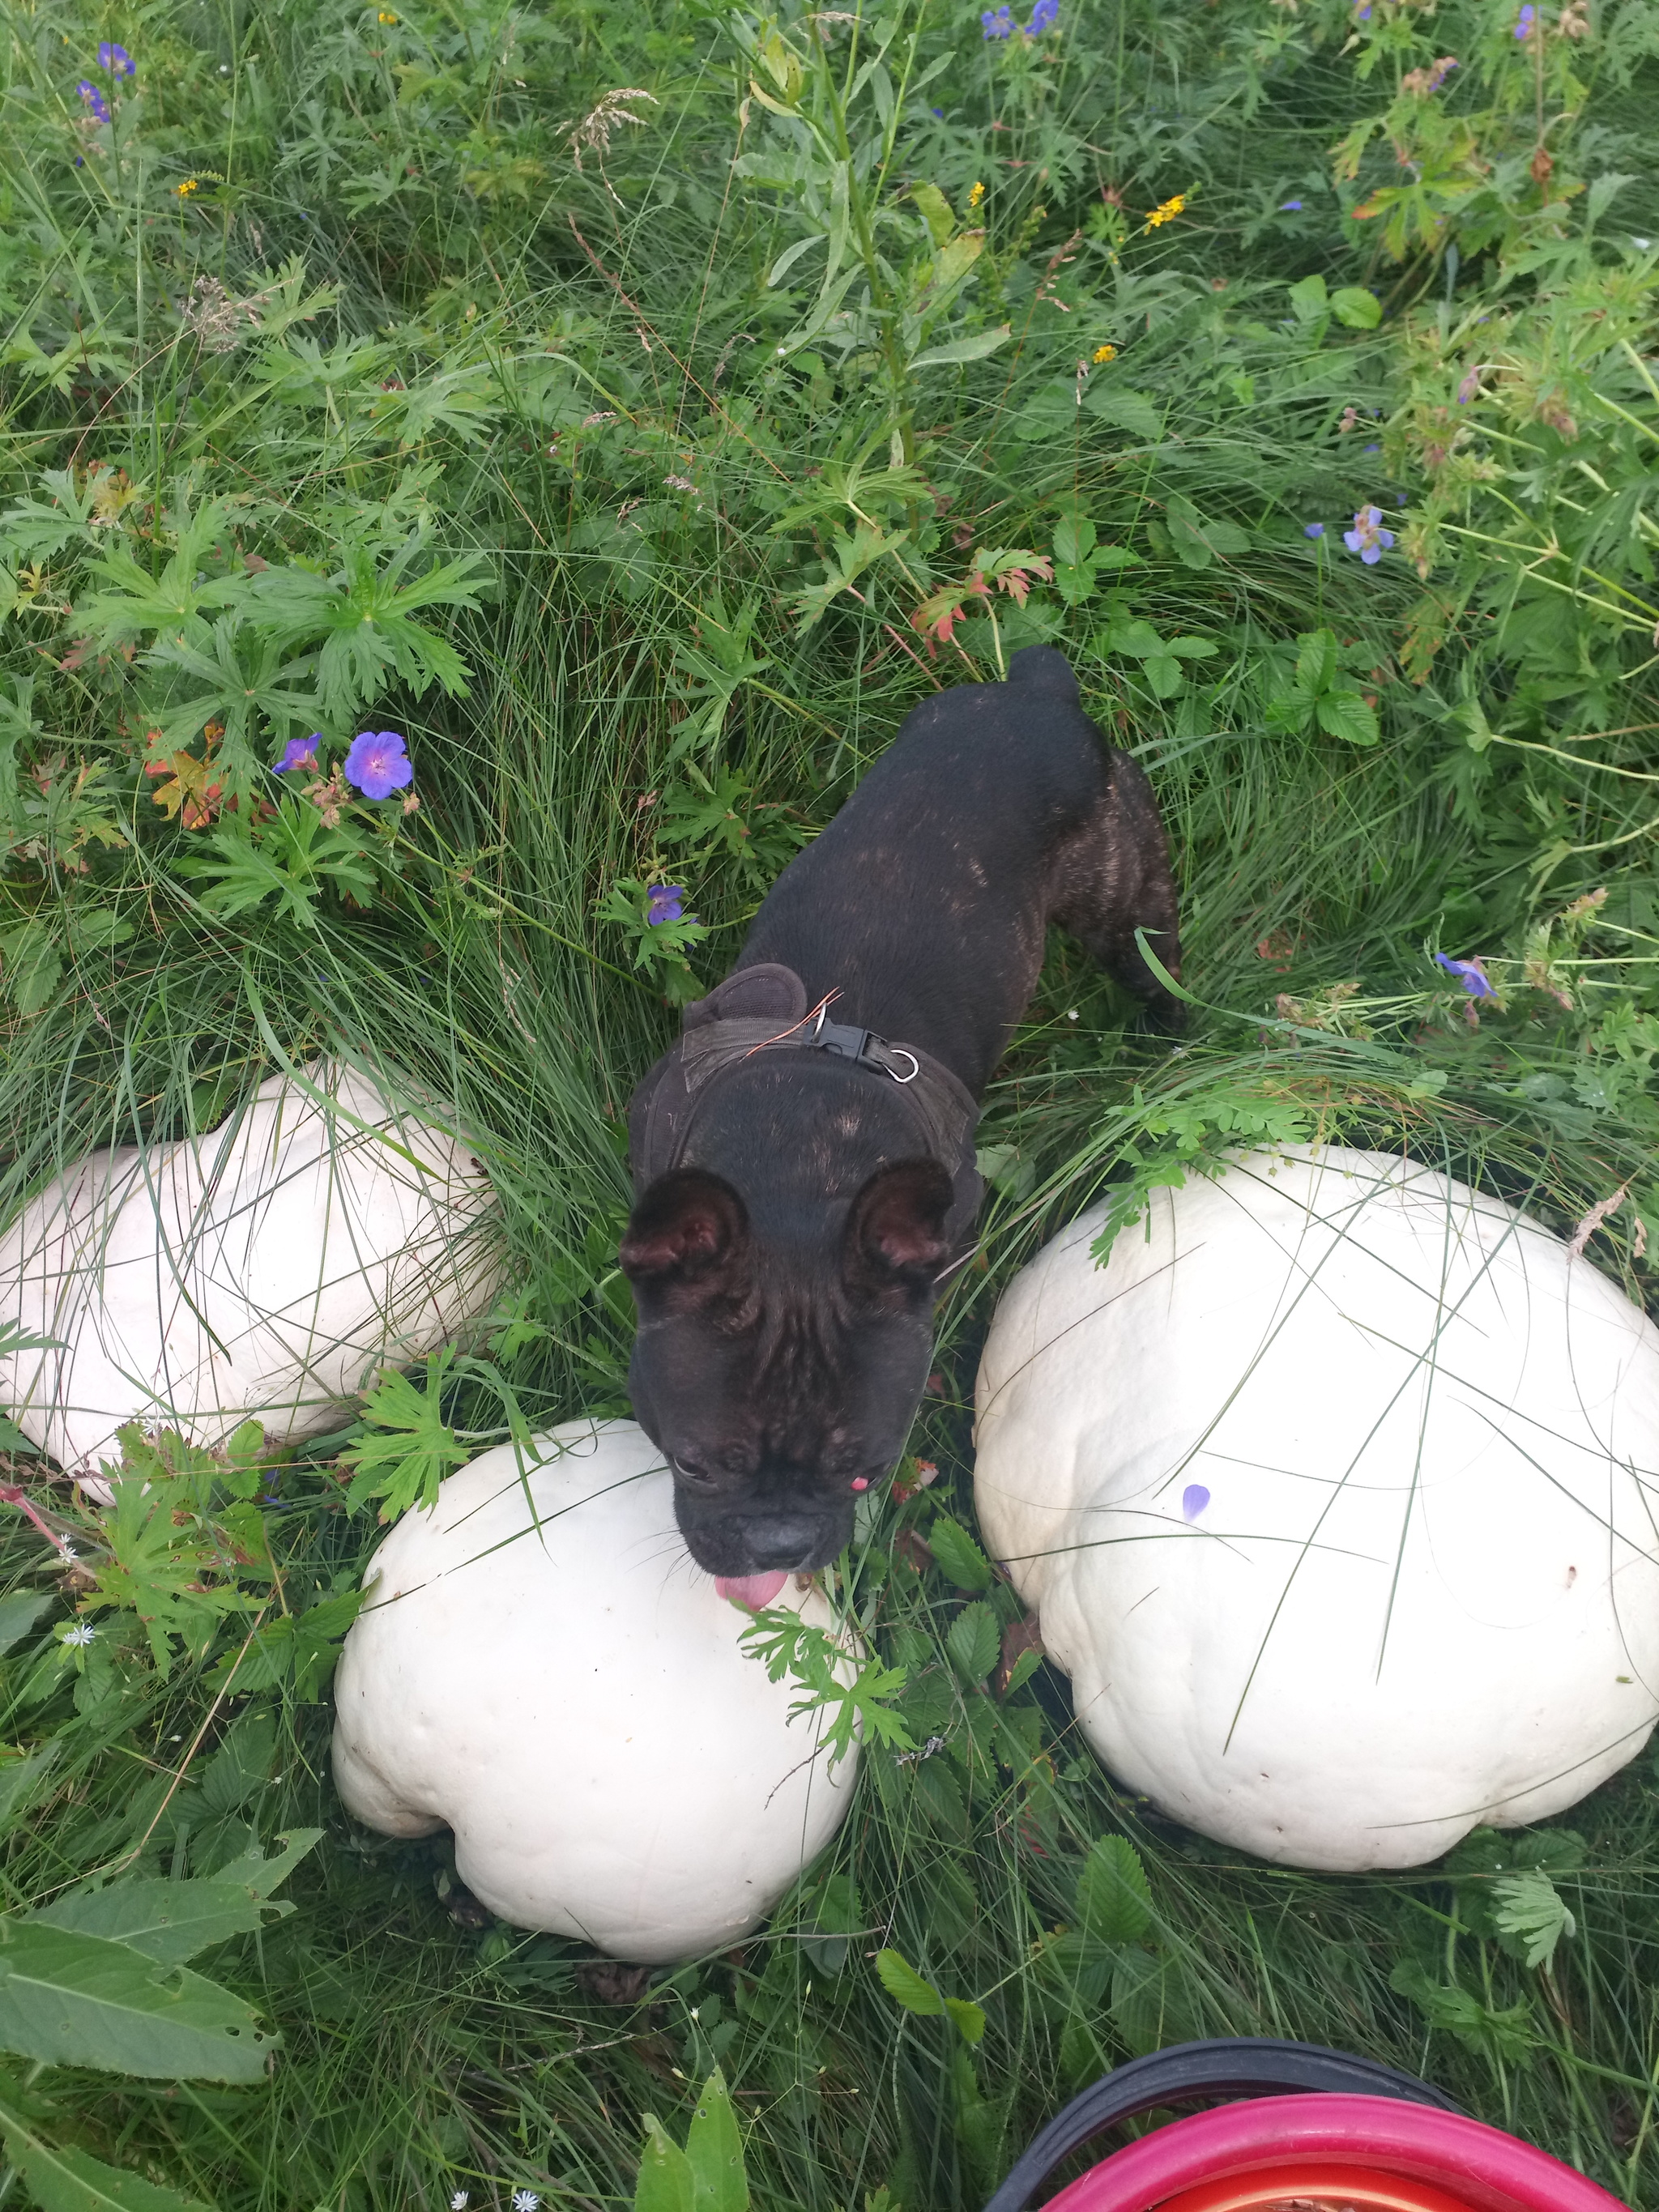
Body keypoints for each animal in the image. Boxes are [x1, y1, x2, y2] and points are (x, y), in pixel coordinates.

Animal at [624, 641, 1185, 1592]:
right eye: (694, 1463)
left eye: (868, 1469)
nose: (778, 1544)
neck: (801, 1166)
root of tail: (1040, 690)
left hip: (1125, 897)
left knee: (1156, 959)